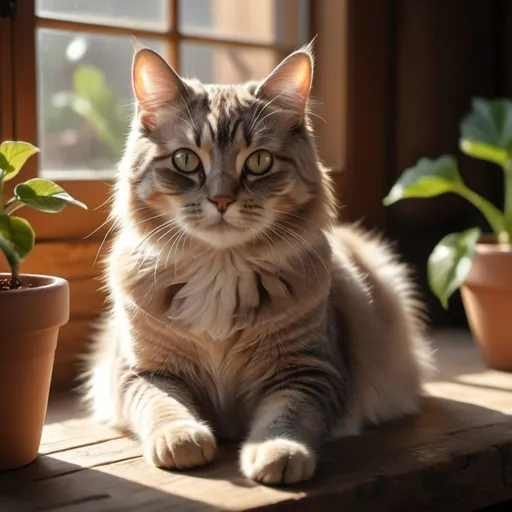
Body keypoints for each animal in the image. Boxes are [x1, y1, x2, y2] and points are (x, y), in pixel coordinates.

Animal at [86, 44, 434, 484]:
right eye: (185, 160)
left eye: (259, 162)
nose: (221, 199)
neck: (219, 270)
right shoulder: (141, 371)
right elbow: (163, 405)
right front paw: (182, 439)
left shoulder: (310, 371)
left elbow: (286, 417)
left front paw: (278, 453)